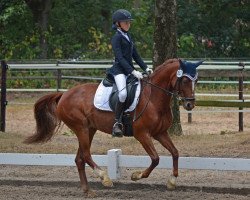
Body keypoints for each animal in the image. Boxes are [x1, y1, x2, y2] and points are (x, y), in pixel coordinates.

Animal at [24, 57, 201, 197]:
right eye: (185, 80)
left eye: (196, 81)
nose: (190, 104)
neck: (154, 98)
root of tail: (64, 94)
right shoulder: (142, 134)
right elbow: (156, 159)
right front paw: (136, 176)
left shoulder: (160, 133)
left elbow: (175, 153)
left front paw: (172, 181)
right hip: (81, 128)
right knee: (86, 155)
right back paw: (105, 178)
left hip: (89, 129)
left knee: (80, 159)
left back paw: (88, 190)